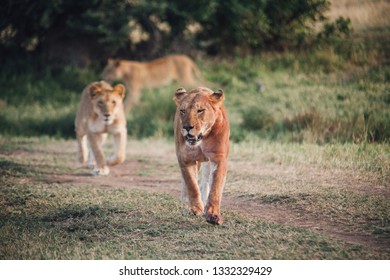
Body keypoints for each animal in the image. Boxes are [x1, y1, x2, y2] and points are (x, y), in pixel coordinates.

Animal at [173, 86, 229, 224]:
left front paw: (213, 214)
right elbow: (192, 184)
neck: (202, 139)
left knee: (206, 181)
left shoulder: (219, 158)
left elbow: (215, 186)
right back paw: (185, 199)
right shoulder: (185, 158)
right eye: (183, 110)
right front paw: (195, 209)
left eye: (200, 110)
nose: (187, 127)